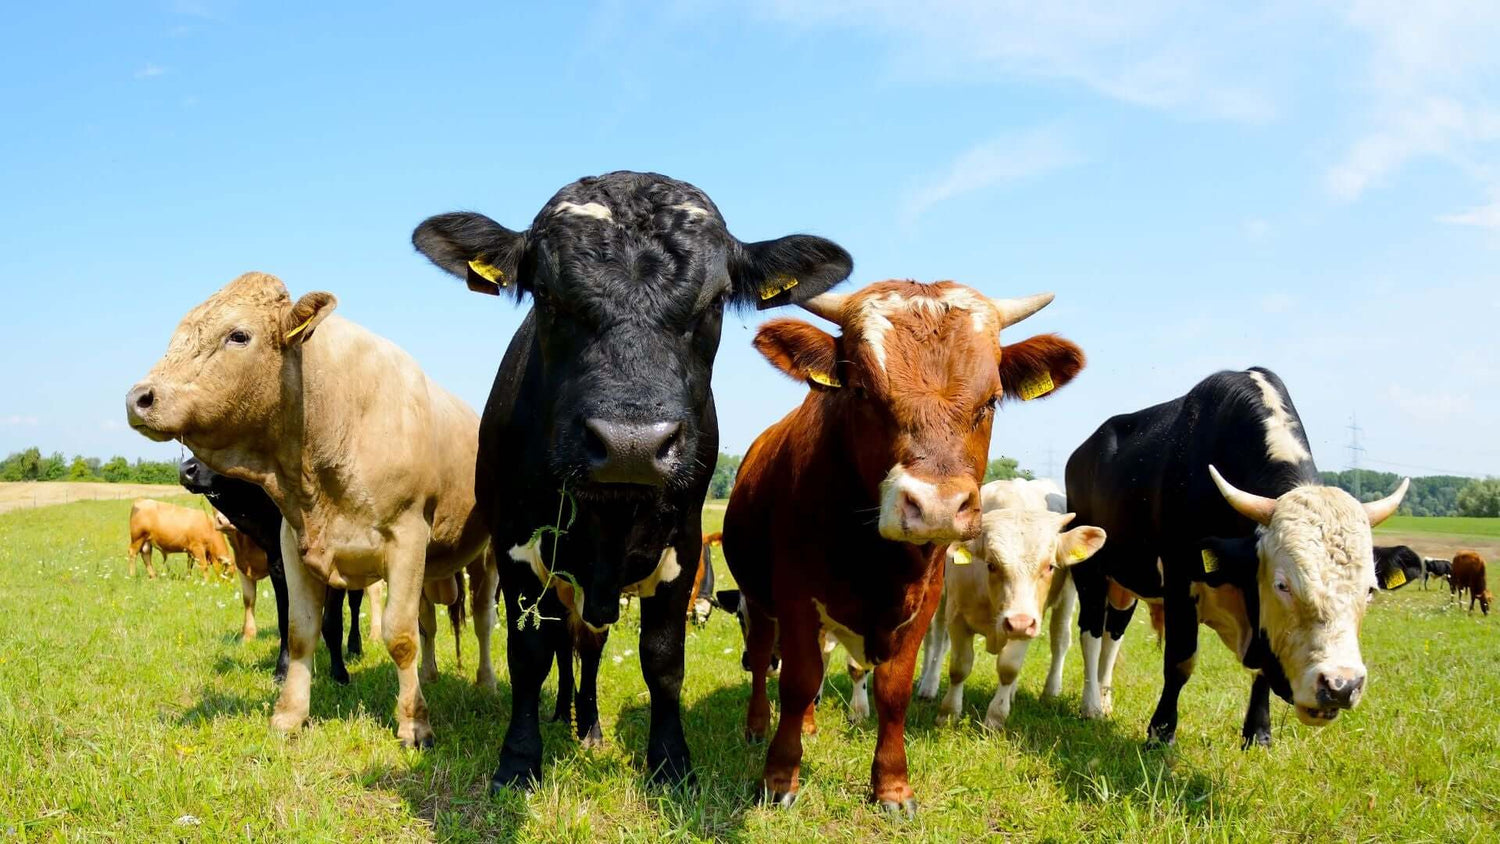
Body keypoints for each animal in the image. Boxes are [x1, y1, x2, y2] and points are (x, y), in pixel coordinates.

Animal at [179, 456, 369, 684]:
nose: (185, 470)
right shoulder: (278, 567)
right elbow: (285, 622)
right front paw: (282, 670)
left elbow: (333, 623)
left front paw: (339, 673)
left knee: (355, 605)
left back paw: (355, 647)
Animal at [411, 170, 853, 790]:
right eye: (546, 295)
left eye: (716, 301)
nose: (631, 444)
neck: (609, 516)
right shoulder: (516, 547)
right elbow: (529, 654)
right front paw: (519, 760)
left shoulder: (683, 549)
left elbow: (663, 660)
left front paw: (670, 761)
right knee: (566, 644)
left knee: (589, 646)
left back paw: (588, 724)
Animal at [722, 280, 1084, 813]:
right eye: (861, 391)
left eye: (991, 400)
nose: (936, 506)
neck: (874, 558)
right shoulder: (795, 596)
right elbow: (798, 679)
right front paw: (779, 777)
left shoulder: (925, 601)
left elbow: (894, 689)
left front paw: (892, 786)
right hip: (758, 597)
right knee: (766, 654)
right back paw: (755, 725)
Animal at [916, 479, 1106, 729]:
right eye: (991, 564)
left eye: (1050, 566)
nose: (1018, 623)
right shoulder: (957, 615)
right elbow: (959, 666)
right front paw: (948, 714)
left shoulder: (1030, 619)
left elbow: (1009, 668)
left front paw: (995, 718)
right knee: (936, 639)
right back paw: (928, 684)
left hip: (1066, 597)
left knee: (1060, 640)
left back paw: (1048, 691)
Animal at [1065, 368, 1408, 749]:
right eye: (1282, 585)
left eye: (1369, 590)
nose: (1340, 686)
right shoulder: (1180, 576)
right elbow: (1180, 661)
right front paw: (1160, 732)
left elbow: (1260, 672)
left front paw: (1258, 733)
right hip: (1090, 570)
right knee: (1092, 632)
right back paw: (1091, 705)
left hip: (1127, 582)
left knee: (1113, 634)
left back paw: (1105, 700)